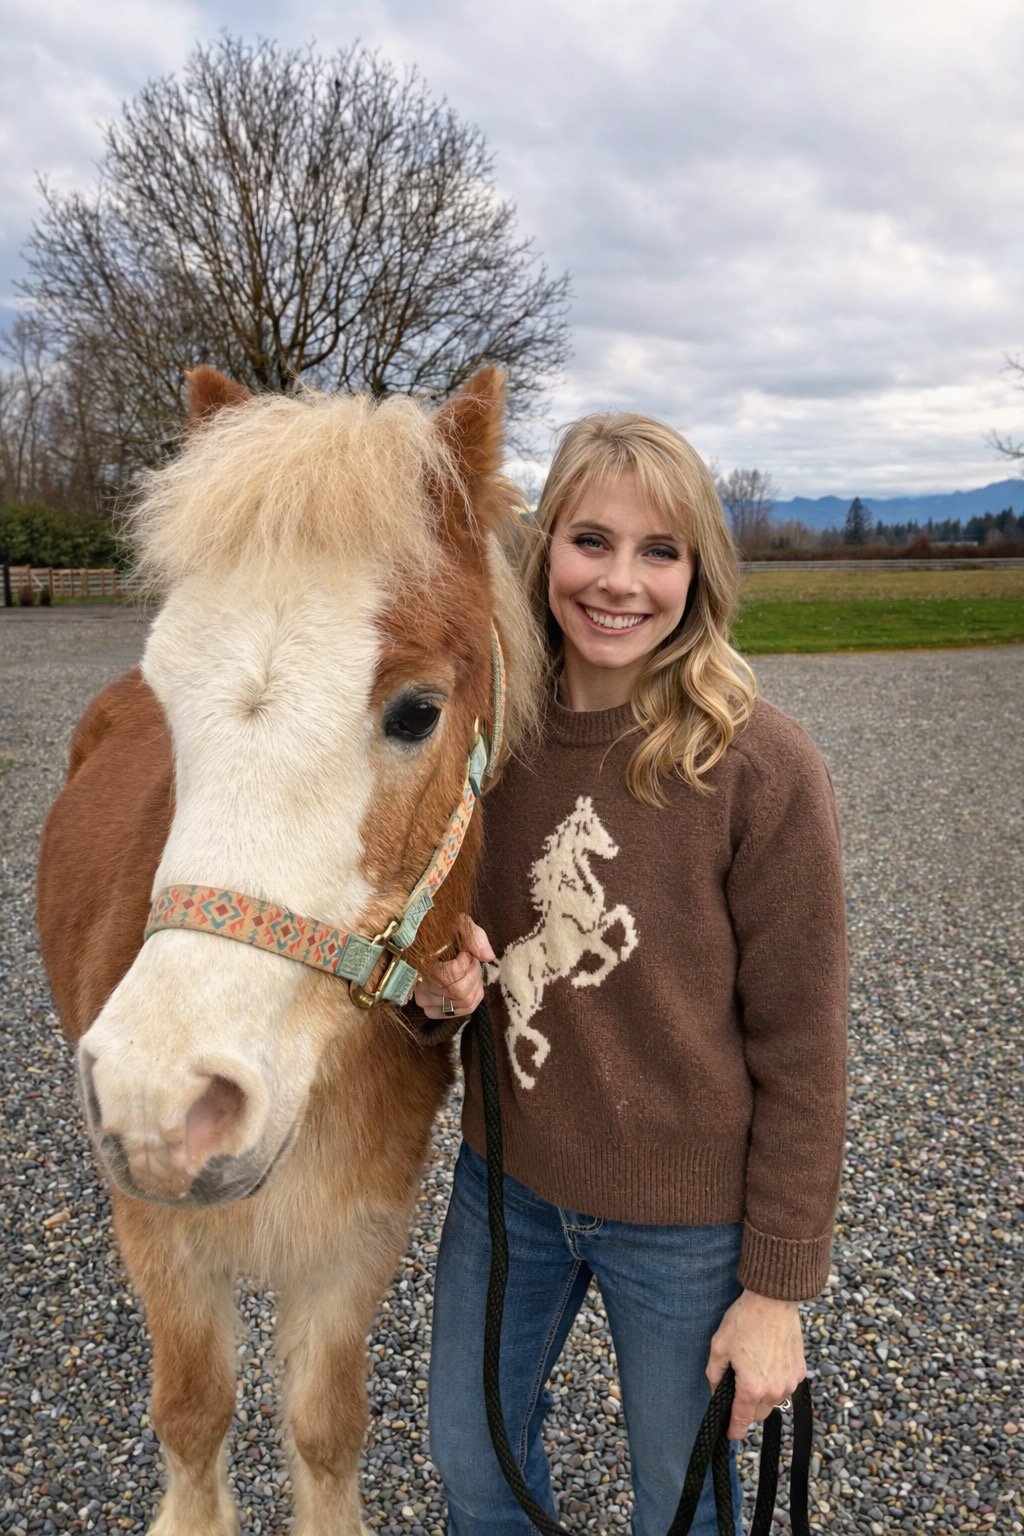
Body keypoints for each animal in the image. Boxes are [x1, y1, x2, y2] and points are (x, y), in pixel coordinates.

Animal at [36, 363, 541, 1536]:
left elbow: (323, 1427)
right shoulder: (162, 1242)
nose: (161, 1098)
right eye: (168, 696)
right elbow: (191, 1418)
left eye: (417, 711)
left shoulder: (352, 1249)